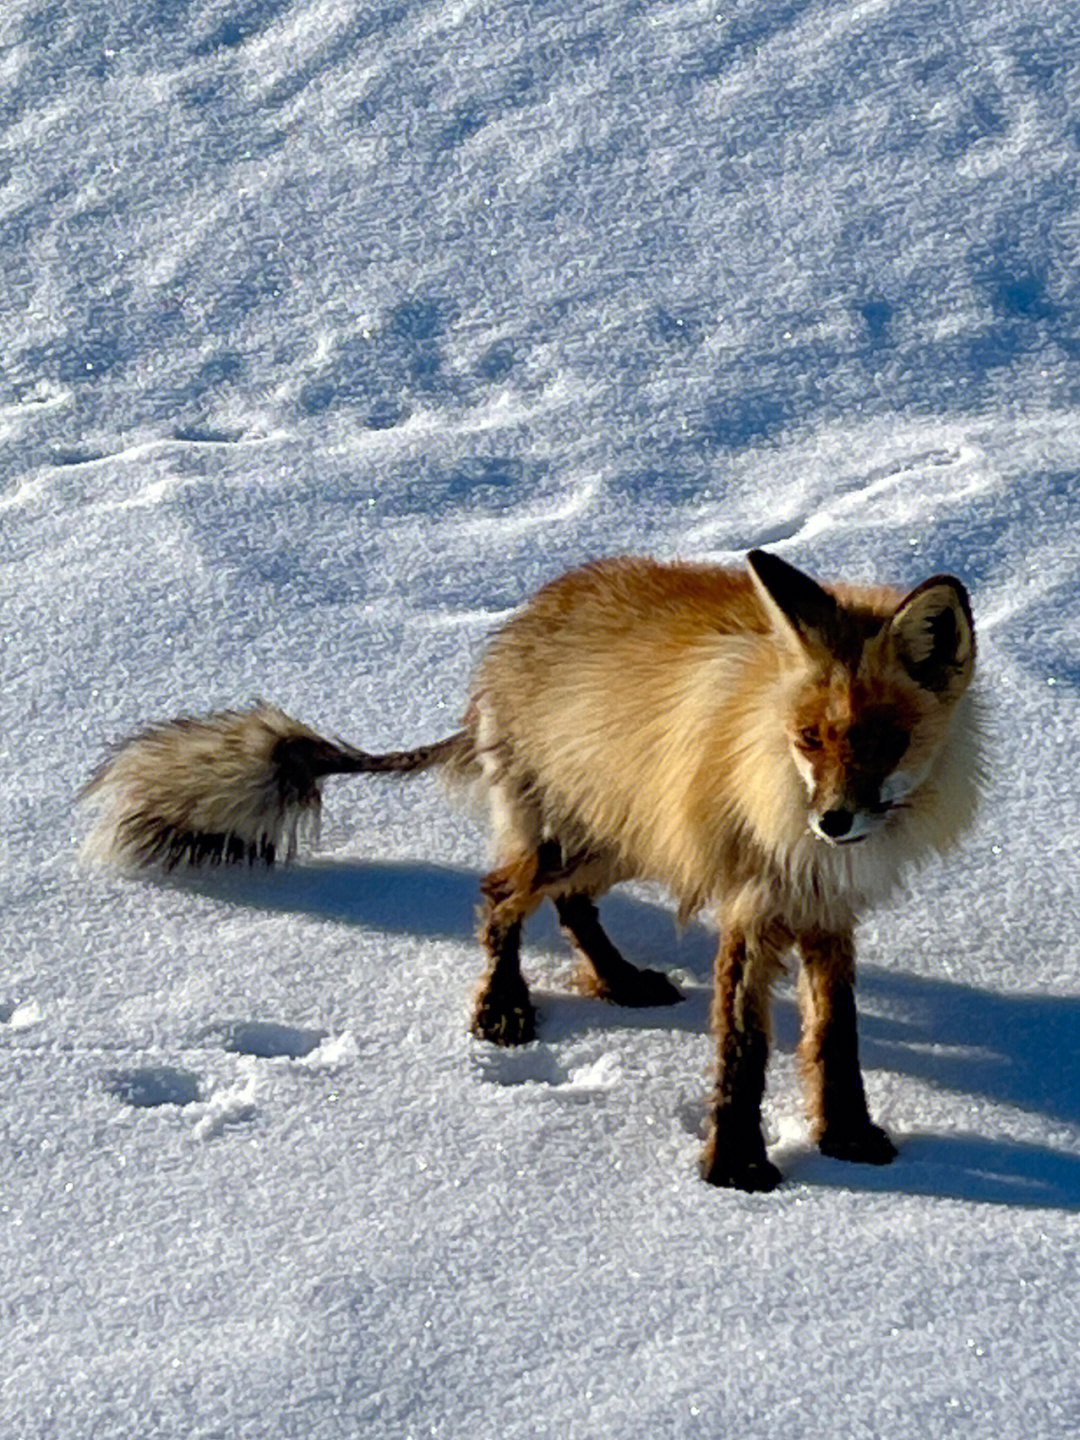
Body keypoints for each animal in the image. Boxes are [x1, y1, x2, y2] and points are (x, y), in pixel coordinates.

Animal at [84, 550, 979, 1192]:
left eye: (884, 743)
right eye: (810, 740)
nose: (834, 822)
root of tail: (511, 635)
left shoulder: (829, 914)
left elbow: (837, 1041)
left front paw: (848, 1136)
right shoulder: (752, 907)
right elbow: (742, 1050)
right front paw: (734, 1166)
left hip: (625, 839)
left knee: (570, 906)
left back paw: (617, 981)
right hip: (591, 837)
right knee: (499, 895)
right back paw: (505, 1005)